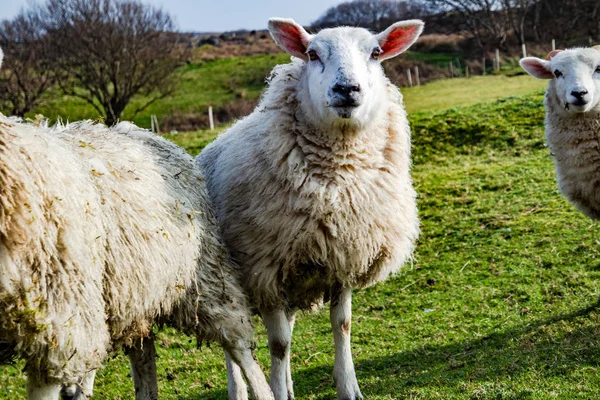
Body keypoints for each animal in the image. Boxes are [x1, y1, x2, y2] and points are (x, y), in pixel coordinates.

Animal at [0, 111, 272, 398]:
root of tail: (143, 133)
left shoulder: (58, 325)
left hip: (204, 281)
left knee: (239, 344)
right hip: (134, 299)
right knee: (144, 354)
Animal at [197, 17, 422, 398]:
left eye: (376, 53)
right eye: (313, 53)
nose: (347, 89)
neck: (338, 180)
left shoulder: (342, 257)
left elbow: (342, 326)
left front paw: (349, 388)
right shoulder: (265, 269)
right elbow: (279, 345)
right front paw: (275, 392)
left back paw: (288, 385)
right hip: (225, 282)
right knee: (233, 345)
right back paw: (239, 390)